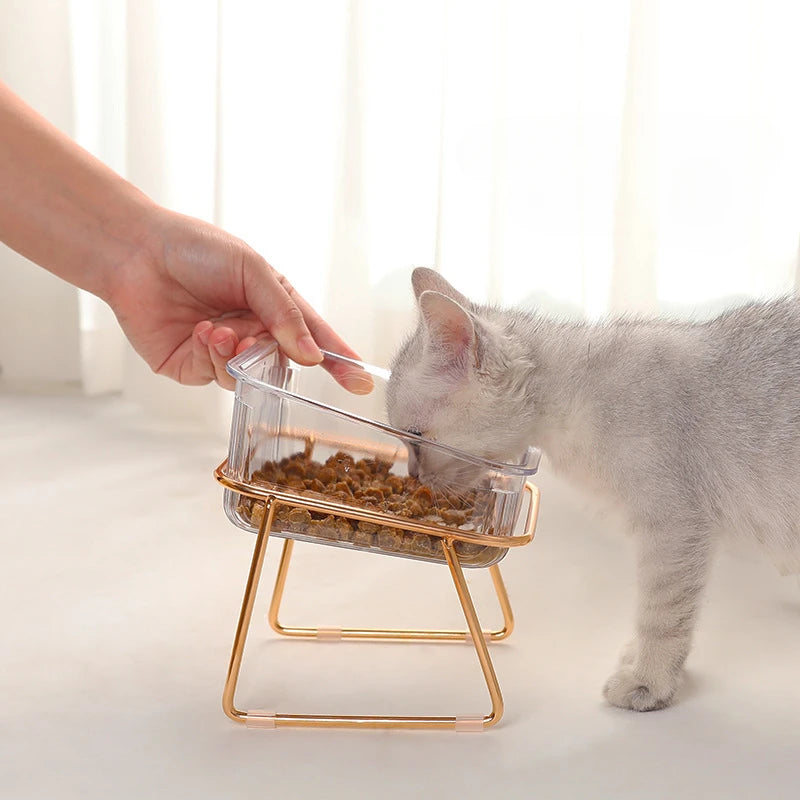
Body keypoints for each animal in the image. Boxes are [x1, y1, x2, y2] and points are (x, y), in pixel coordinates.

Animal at [388, 268, 800, 712]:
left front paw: (648, 680)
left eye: (413, 438)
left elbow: (661, 613)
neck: (576, 391)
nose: (413, 475)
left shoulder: (675, 527)